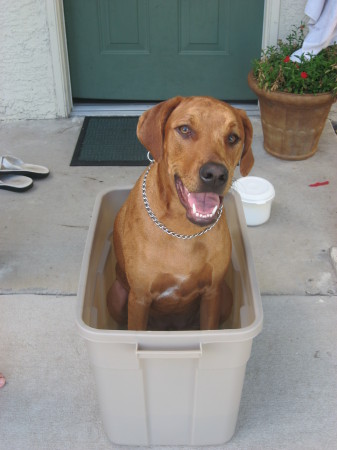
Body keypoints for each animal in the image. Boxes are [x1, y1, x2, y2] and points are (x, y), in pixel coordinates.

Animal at [107, 96, 252, 330]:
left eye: (233, 137)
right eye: (185, 129)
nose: (215, 174)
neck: (183, 230)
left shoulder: (212, 292)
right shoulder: (139, 298)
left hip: (226, 296)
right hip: (117, 296)